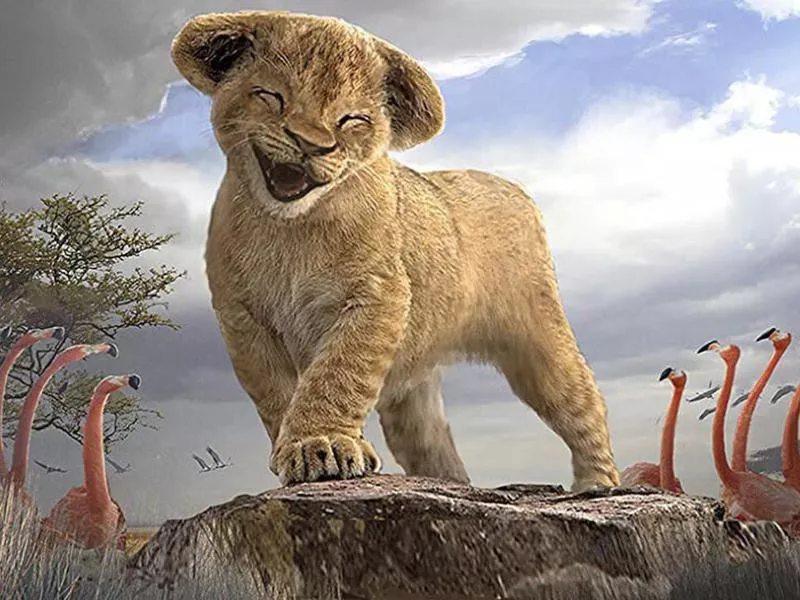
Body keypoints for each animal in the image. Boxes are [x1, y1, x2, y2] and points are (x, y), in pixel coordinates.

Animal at [171, 10, 620, 491]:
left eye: (351, 119)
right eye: (271, 96)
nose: (312, 145)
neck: (289, 229)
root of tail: (512, 184)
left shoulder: (378, 294)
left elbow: (339, 371)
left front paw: (323, 444)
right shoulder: (242, 318)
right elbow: (275, 392)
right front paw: (299, 449)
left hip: (538, 340)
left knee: (582, 402)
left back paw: (597, 485)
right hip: (414, 388)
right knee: (432, 444)